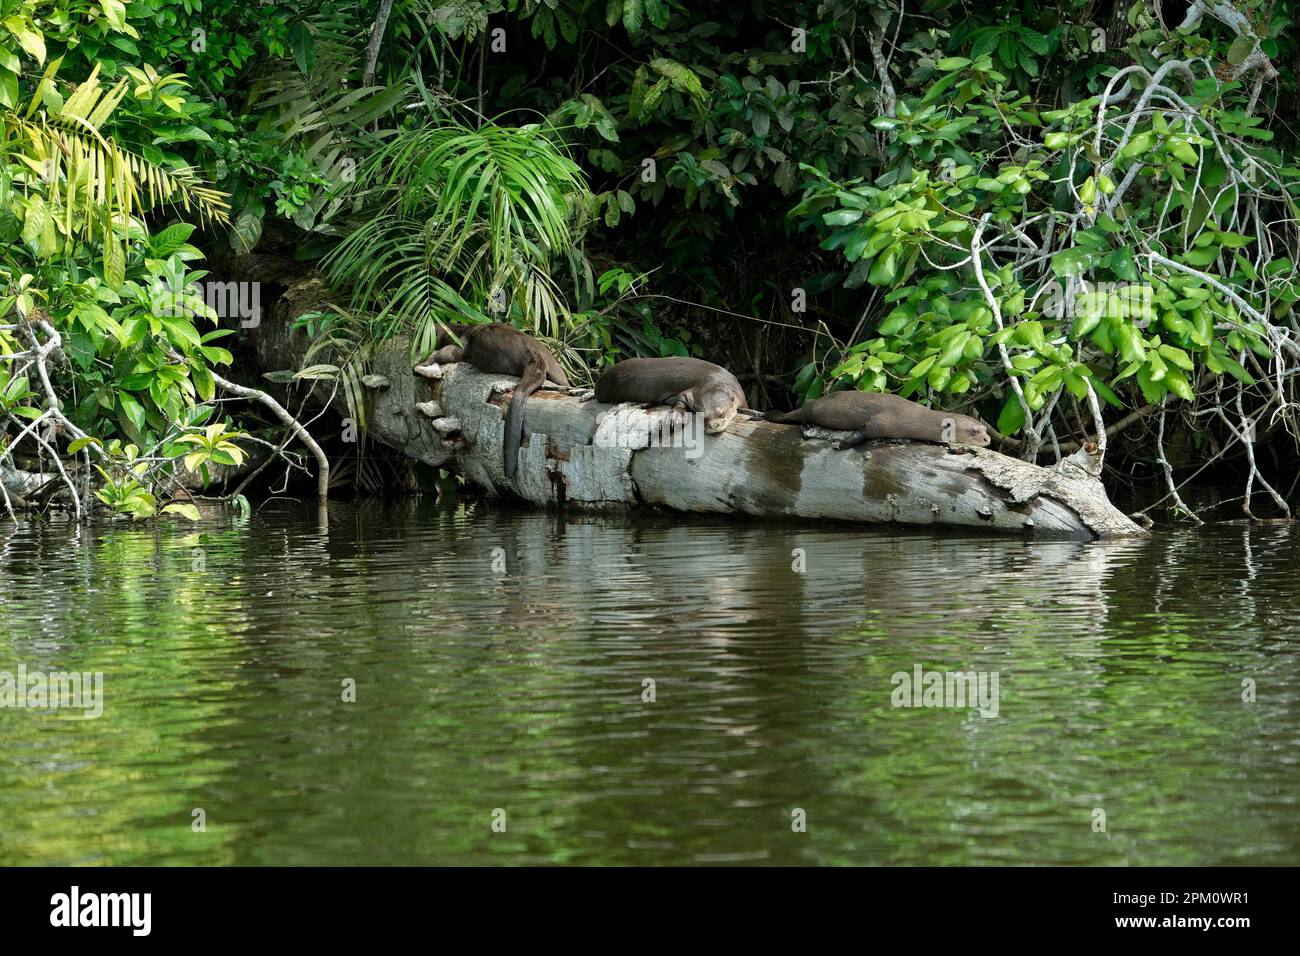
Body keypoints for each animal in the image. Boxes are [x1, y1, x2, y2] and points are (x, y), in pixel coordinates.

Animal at [414, 323, 569, 478]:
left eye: (422, 336)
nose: (418, 344)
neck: (455, 331)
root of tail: (535, 358)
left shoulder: (458, 345)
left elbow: (444, 353)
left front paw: (420, 364)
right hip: (553, 365)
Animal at [594, 357, 748, 434]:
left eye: (722, 414)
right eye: (704, 417)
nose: (712, 426)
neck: (717, 380)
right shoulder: (694, 392)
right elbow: (681, 399)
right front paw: (675, 417)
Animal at [767, 391, 991, 449]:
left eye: (985, 429)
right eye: (974, 432)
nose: (988, 440)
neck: (916, 418)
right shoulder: (884, 422)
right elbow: (865, 430)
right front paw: (843, 444)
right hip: (813, 408)